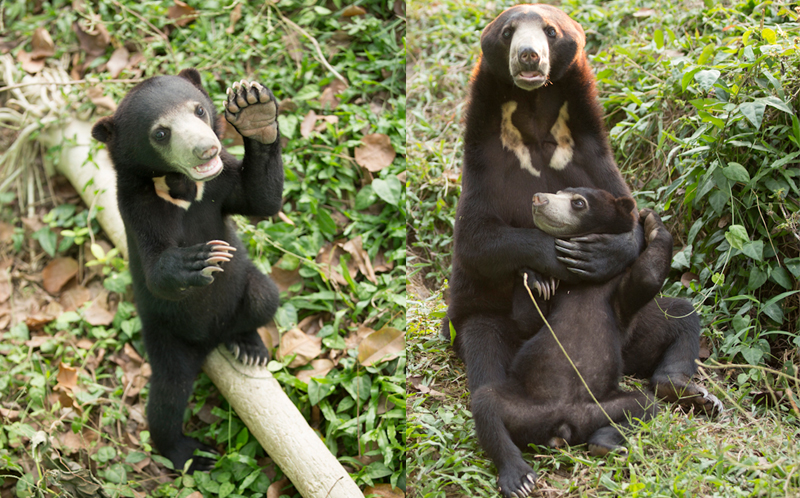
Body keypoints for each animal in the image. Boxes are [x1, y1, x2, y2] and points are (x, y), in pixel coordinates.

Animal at [92, 69, 284, 470]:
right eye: (161, 133)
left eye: (198, 110)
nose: (206, 149)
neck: (182, 187)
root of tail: (208, 339)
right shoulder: (137, 206)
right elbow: (155, 271)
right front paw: (199, 259)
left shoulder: (223, 183)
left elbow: (262, 200)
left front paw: (253, 110)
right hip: (167, 335)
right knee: (167, 397)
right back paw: (190, 453)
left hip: (245, 292)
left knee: (265, 296)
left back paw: (249, 346)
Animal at [446, 2, 720, 494]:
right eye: (508, 33)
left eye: (550, 32)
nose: (530, 56)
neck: (533, 115)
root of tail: (563, 427)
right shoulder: (484, 160)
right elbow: (476, 238)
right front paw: (543, 268)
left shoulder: (590, 151)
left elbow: (632, 222)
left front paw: (603, 252)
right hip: (482, 322)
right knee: (486, 369)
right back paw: (517, 469)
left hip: (635, 341)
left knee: (680, 320)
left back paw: (685, 394)